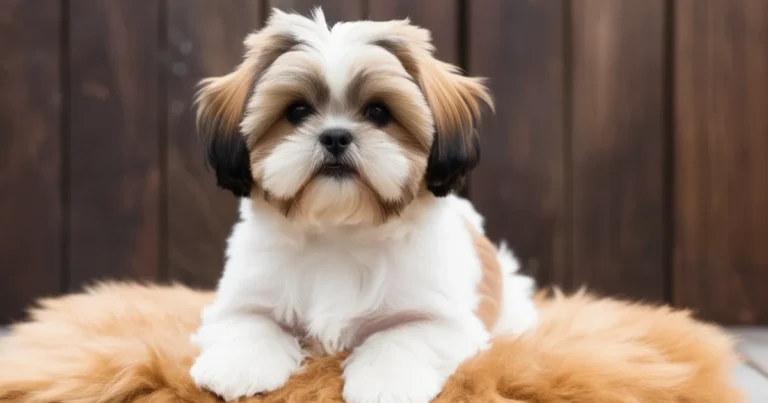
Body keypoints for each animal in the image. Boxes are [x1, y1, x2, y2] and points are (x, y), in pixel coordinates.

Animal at [189, 7, 536, 402]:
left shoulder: (444, 322)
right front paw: (238, 365)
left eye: (378, 112)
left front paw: (387, 383)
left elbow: (401, 337)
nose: (335, 136)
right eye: (296, 111)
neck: (340, 232)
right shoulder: (238, 301)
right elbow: (250, 322)